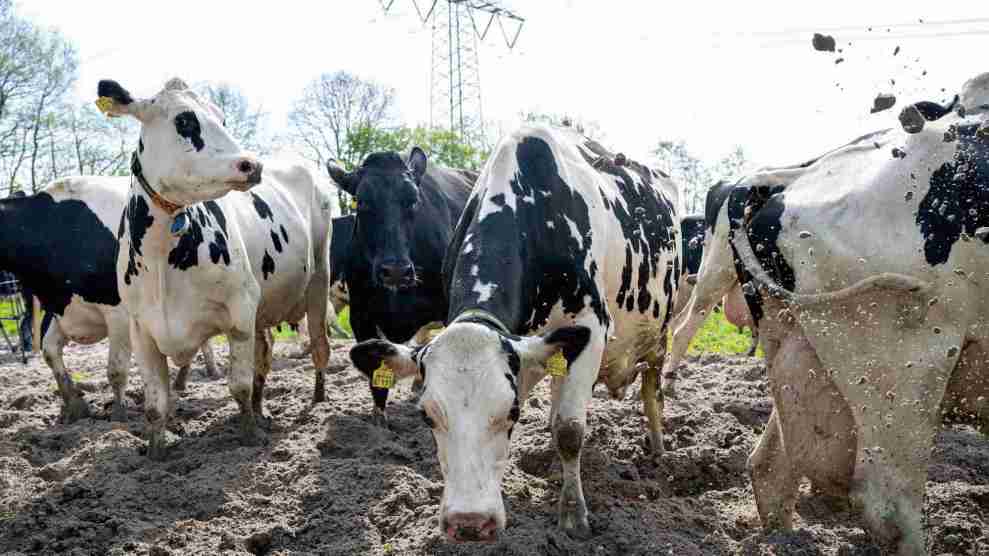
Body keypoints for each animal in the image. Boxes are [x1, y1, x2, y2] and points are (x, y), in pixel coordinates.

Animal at [0, 177, 217, 422]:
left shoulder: (119, 314)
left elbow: (116, 369)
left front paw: (119, 414)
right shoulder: (63, 310)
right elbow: (49, 353)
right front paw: (75, 407)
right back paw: (184, 381)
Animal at [97, 78, 336, 460]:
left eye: (222, 117)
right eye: (184, 120)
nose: (251, 165)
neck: (162, 263)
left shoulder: (239, 310)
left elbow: (237, 385)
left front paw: (249, 437)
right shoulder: (141, 328)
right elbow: (154, 406)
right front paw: (156, 453)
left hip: (319, 280)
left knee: (318, 346)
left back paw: (317, 399)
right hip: (262, 306)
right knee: (264, 353)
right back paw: (262, 408)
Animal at [326, 148, 476, 422]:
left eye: (414, 201)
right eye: (362, 202)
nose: (395, 271)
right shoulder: (361, 315)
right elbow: (377, 376)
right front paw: (379, 420)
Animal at [348, 125, 680, 544]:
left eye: (513, 412)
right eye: (426, 416)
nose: (469, 524)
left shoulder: (591, 325)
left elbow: (570, 430)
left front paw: (573, 516)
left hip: (660, 333)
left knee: (652, 393)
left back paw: (658, 450)